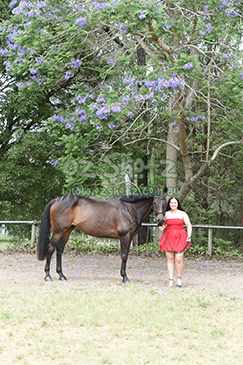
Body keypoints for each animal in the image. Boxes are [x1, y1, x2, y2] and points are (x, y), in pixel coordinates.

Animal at [37, 193, 167, 282]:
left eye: (165, 205)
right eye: (154, 204)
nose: (161, 221)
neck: (130, 209)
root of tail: (56, 200)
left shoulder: (128, 238)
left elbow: (124, 255)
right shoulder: (124, 236)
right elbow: (124, 256)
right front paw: (124, 277)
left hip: (67, 230)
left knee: (59, 250)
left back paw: (61, 275)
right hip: (58, 231)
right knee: (50, 249)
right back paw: (48, 276)